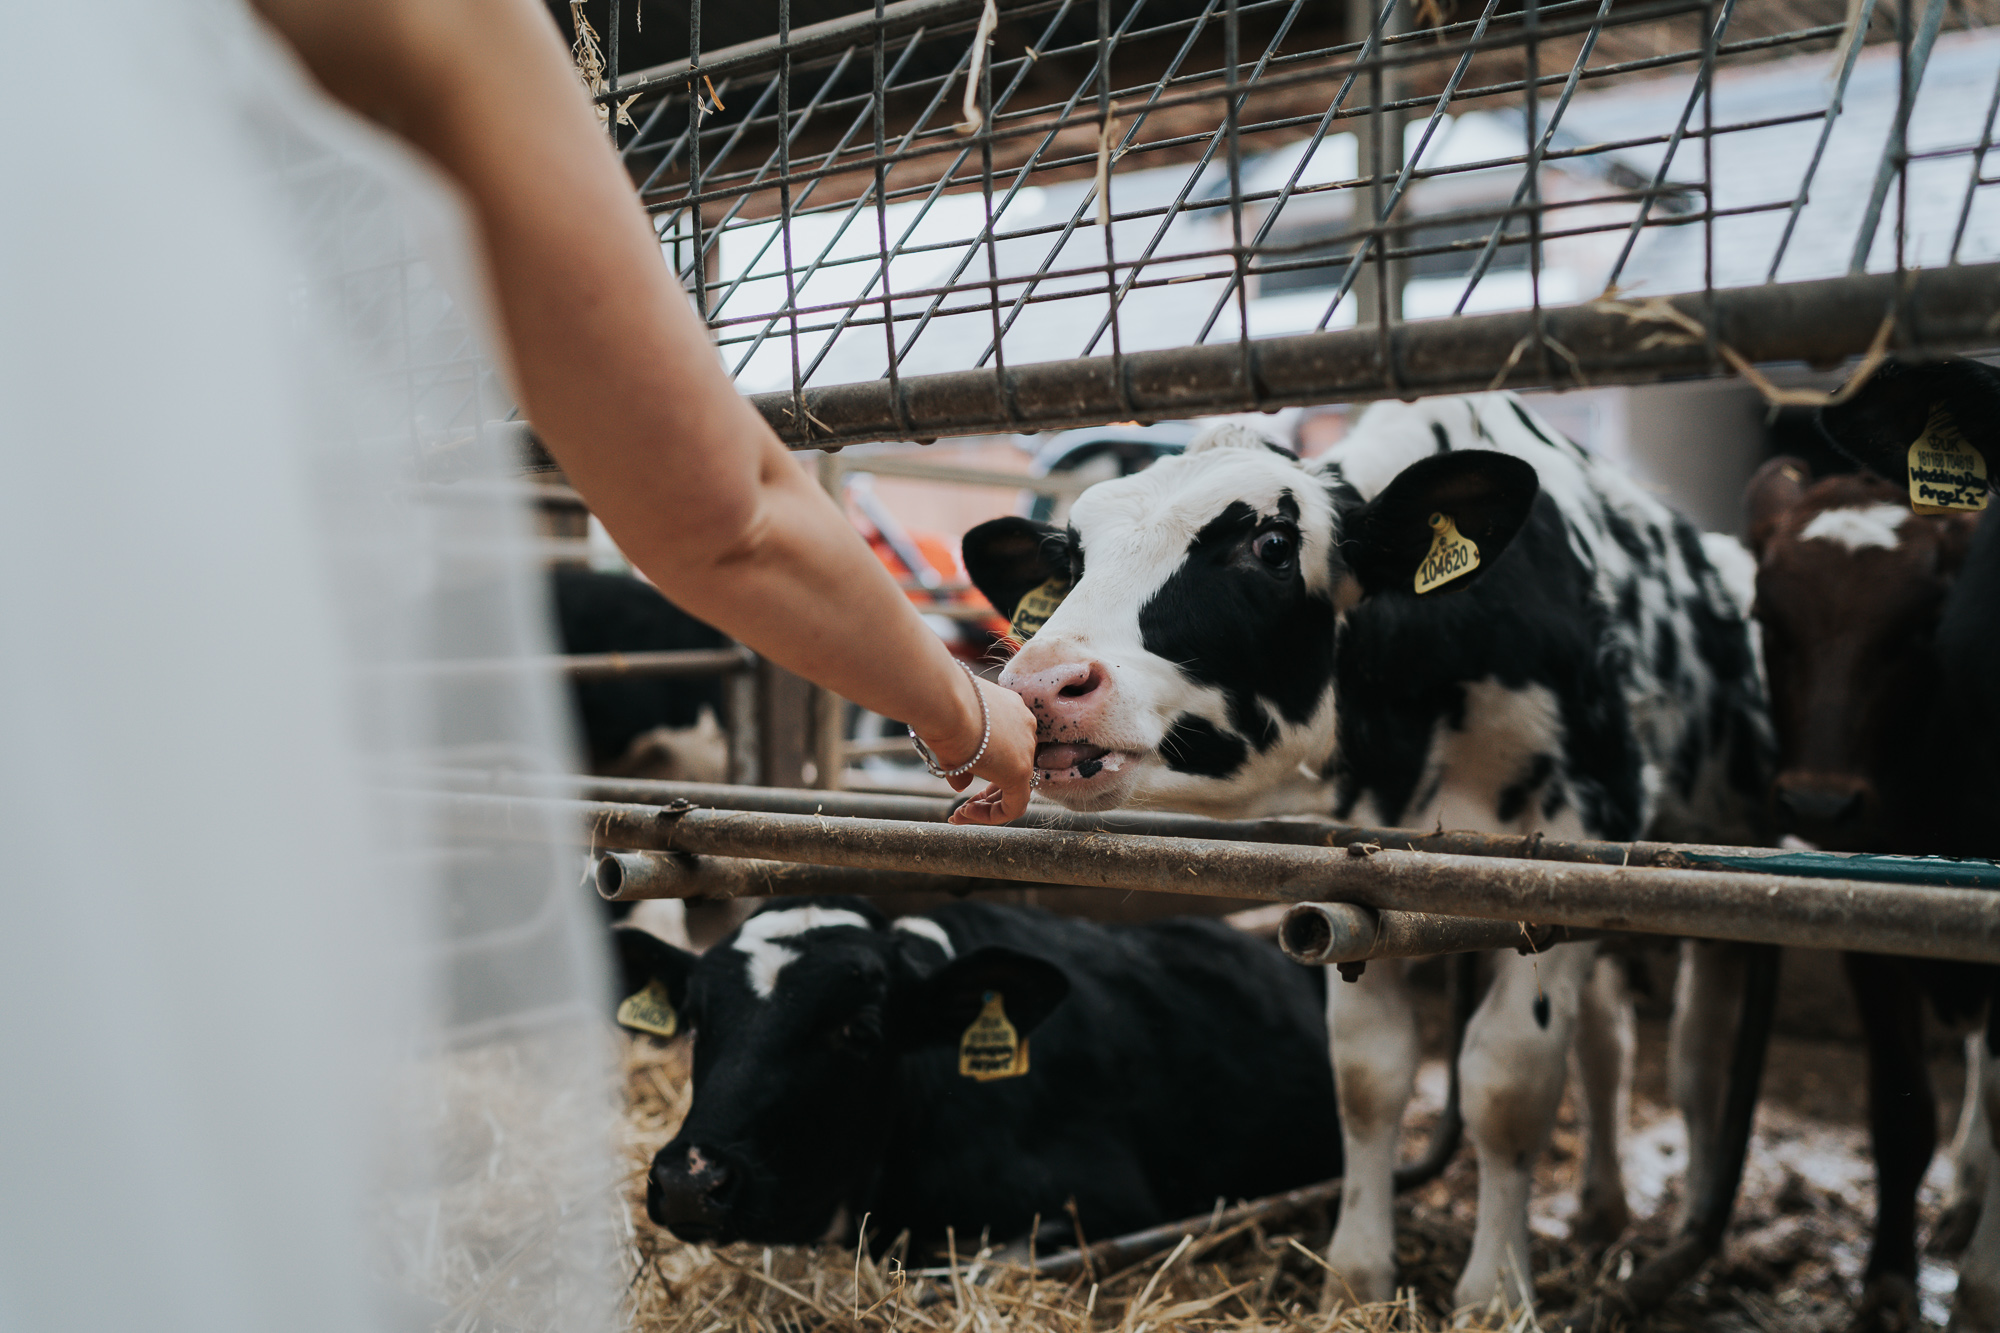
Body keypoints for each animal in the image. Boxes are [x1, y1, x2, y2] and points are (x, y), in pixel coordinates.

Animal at [968, 390, 1768, 1304]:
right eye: (1072, 559)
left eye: (1271, 545)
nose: (1041, 685)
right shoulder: (1357, 869)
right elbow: (1367, 1075)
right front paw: (1356, 1273)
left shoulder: (1573, 835)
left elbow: (1510, 1079)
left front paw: (1495, 1292)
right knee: (1608, 1041)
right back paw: (1602, 1207)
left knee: (1700, 1054)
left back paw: (1692, 1215)